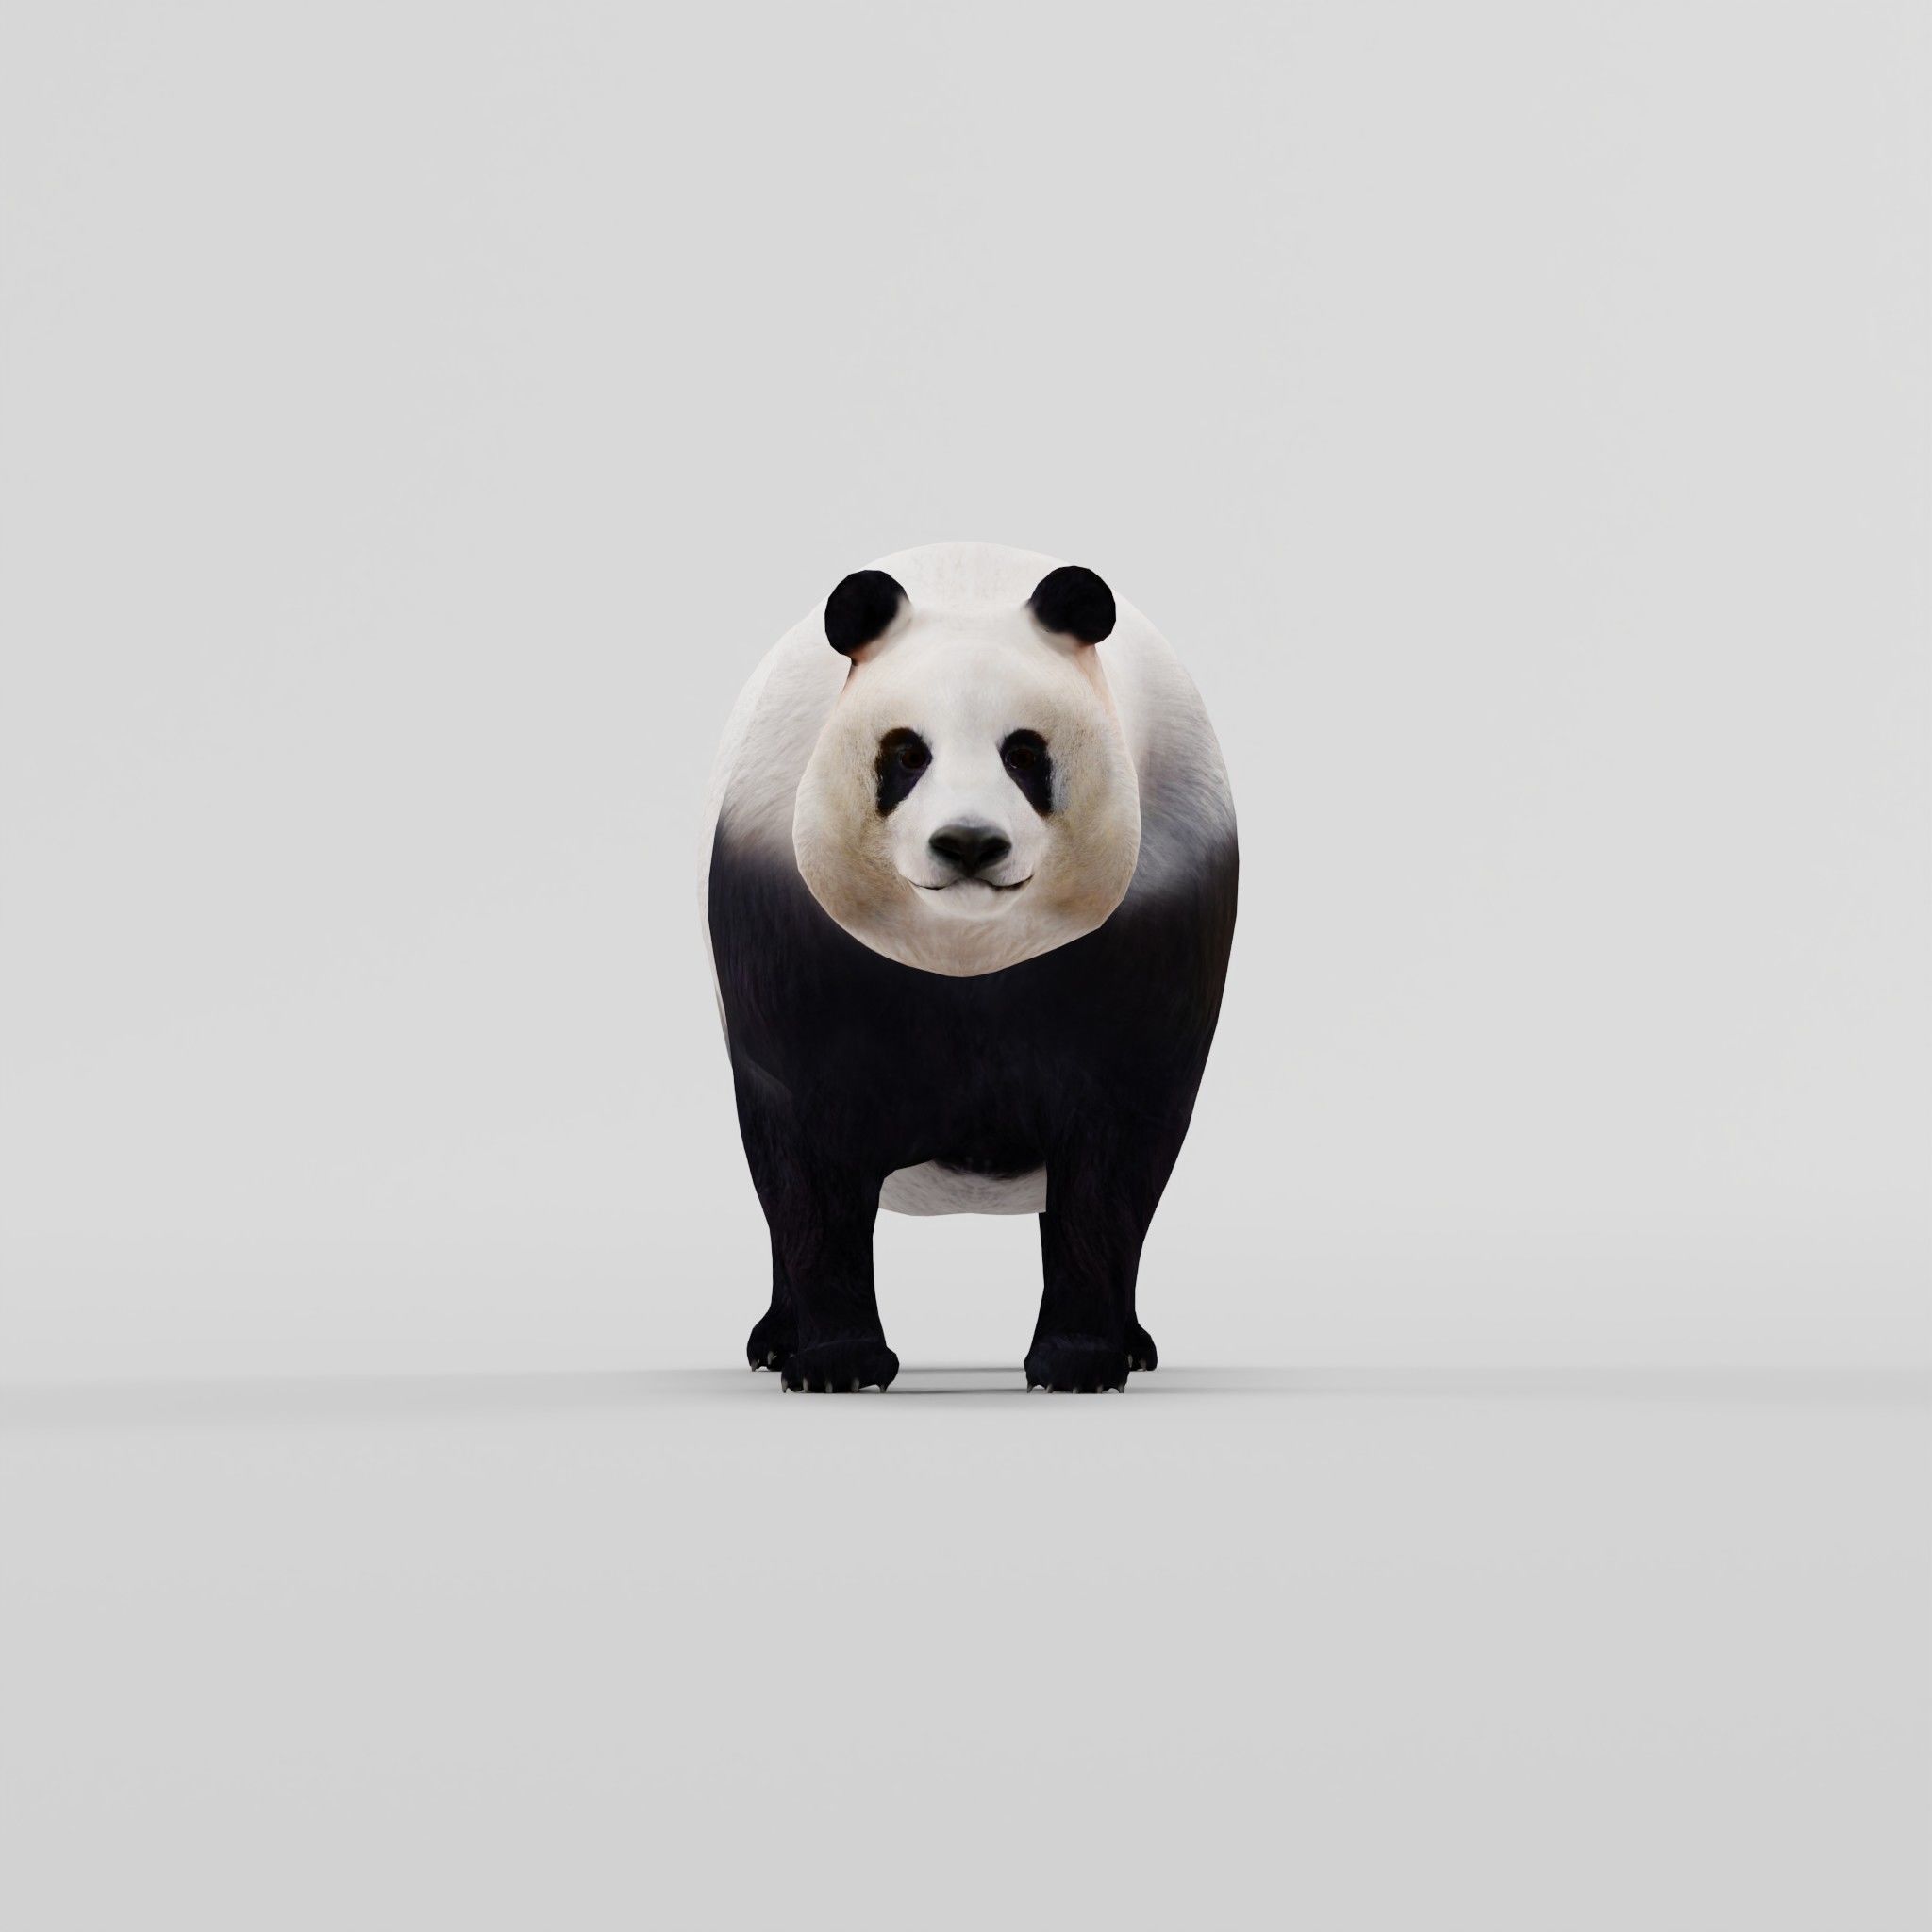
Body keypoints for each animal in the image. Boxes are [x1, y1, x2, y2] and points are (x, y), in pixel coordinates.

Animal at [701, 542, 1237, 1392]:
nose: (969, 843)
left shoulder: (1163, 914)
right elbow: (805, 1144)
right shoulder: (784, 932)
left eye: (1023, 753)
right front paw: (839, 1363)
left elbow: (1117, 1149)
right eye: (906, 754)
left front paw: (1078, 1362)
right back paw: (776, 1342)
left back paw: (1134, 1345)